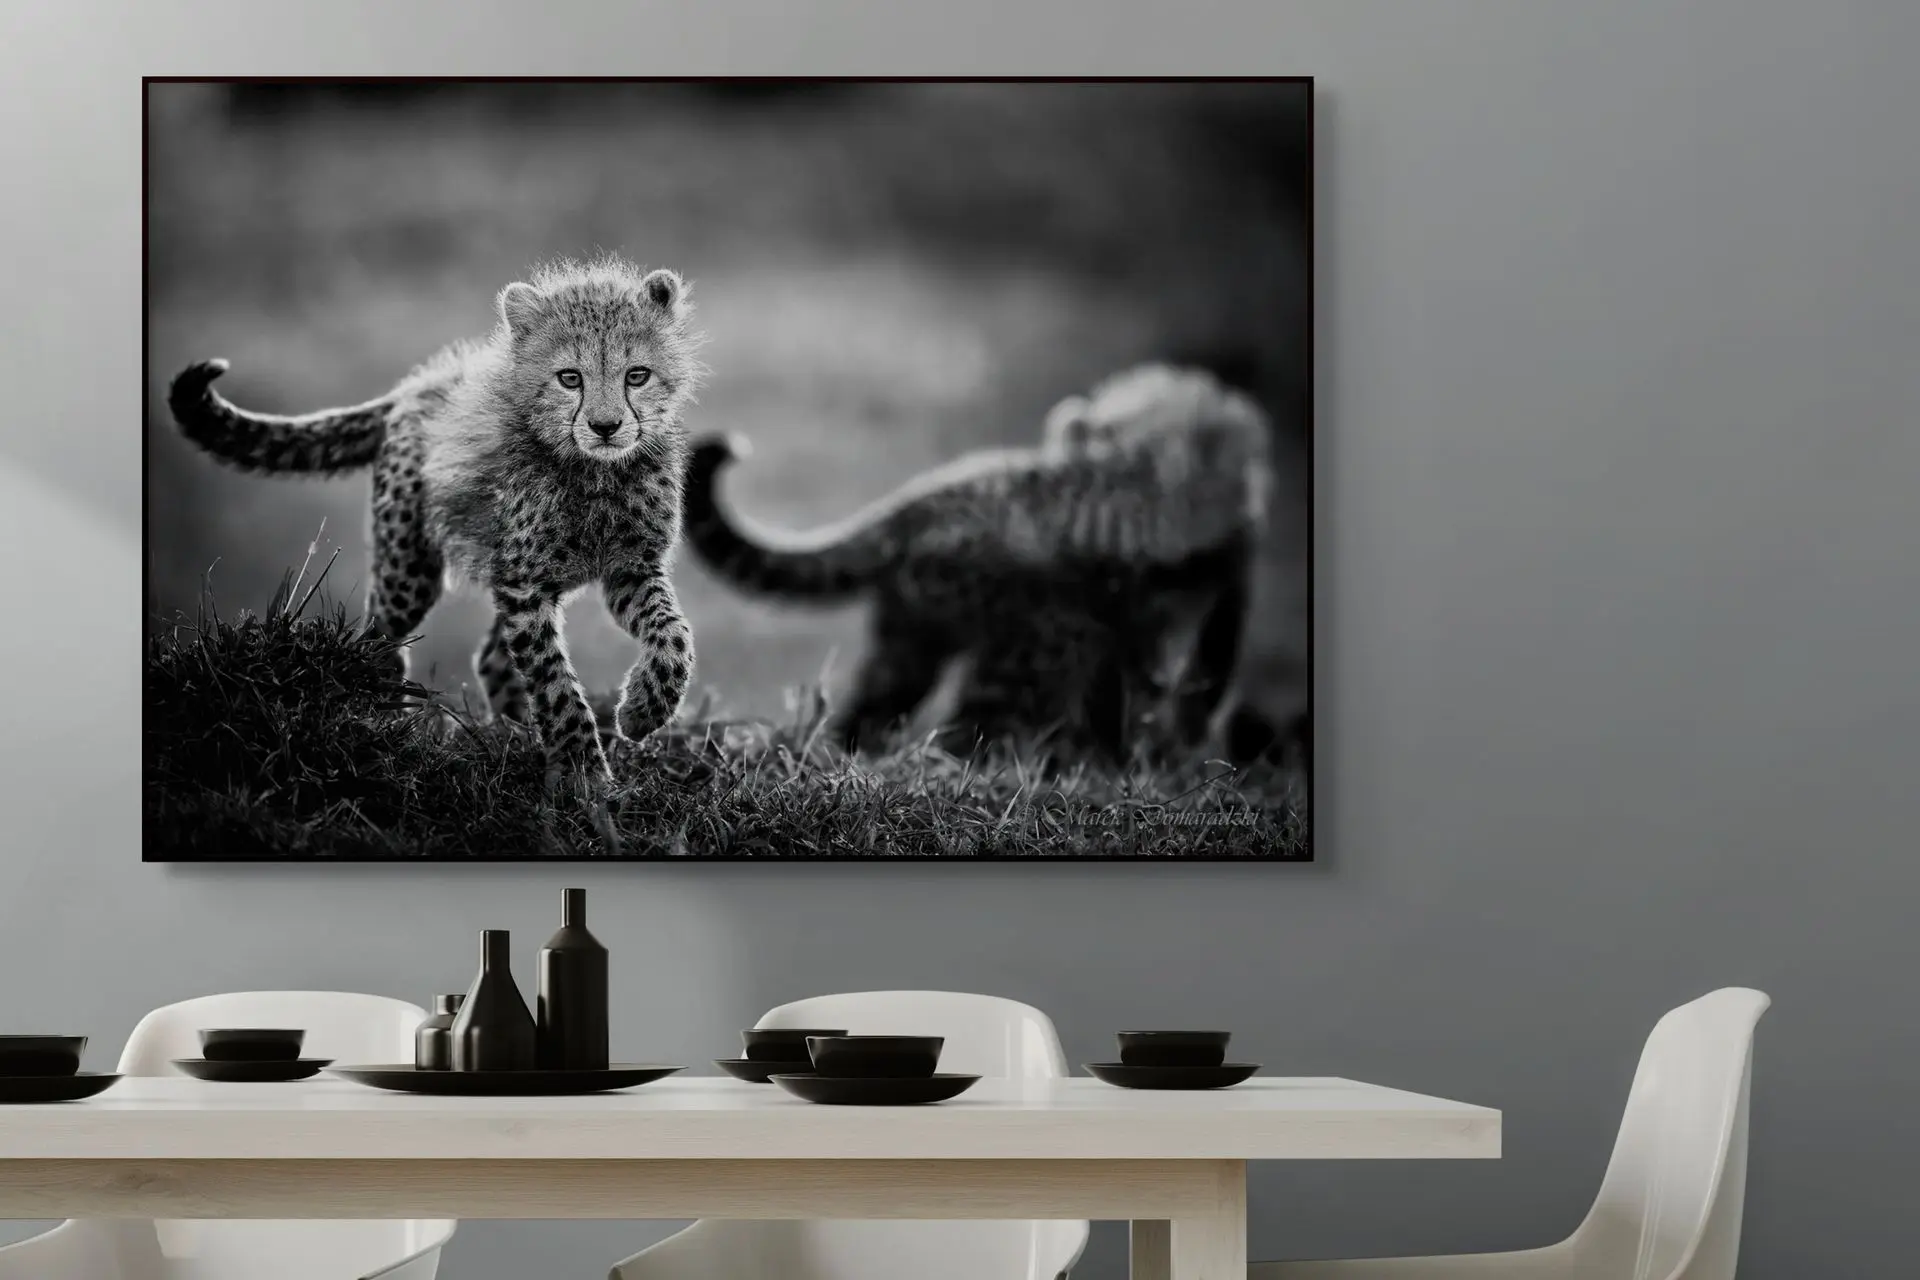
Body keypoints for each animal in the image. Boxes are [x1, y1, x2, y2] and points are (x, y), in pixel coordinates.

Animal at [167, 255, 706, 793]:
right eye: (569, 378)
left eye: (637, 376)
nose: (605, 426)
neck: (597, 472)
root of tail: (417, 386)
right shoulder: (526, 583)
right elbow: (553, 681)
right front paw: (583, 773)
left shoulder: (629, 568)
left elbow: (673, 634)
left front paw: (641, 711)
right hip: (411, 572)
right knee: (381, 637)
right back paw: (385, 720)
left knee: (490, 656)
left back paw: (512, 733)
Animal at [682, 363, 1277, 762]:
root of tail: (922, 502)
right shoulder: (1206, 594)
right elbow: (1189, 682)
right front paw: (1151, 759)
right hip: (1037, 653)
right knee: (970, 731)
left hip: (912, 636)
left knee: (869, 709)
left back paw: (850, 759)